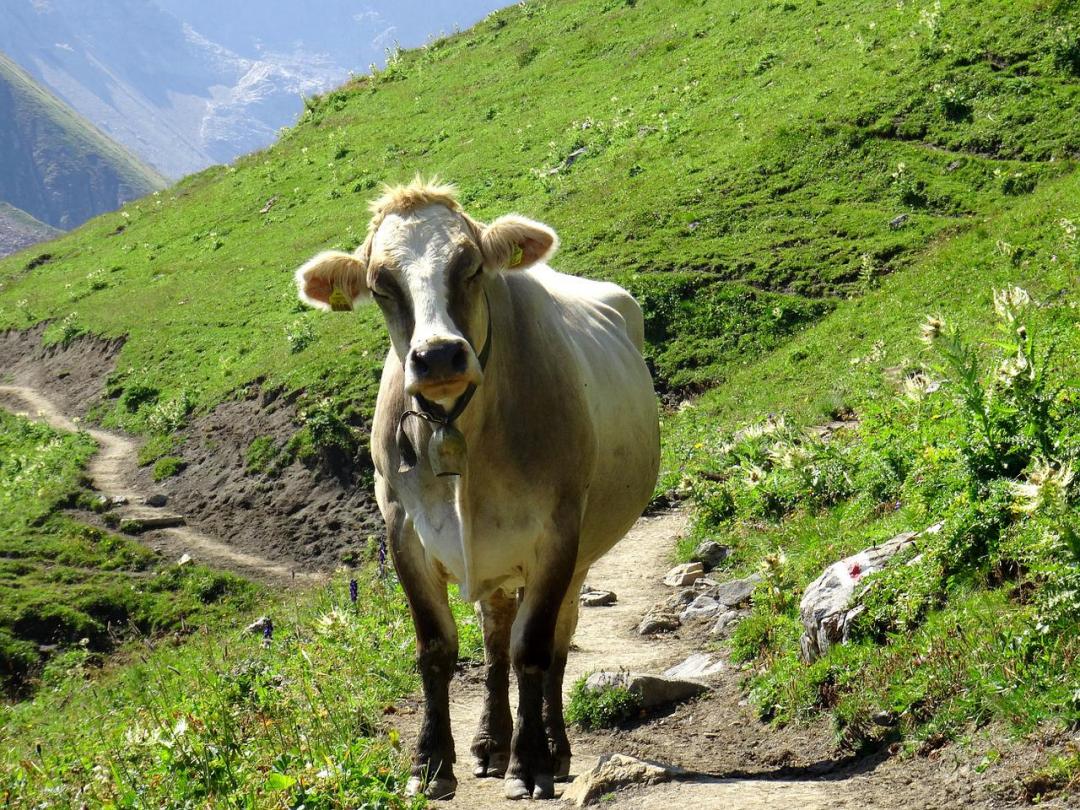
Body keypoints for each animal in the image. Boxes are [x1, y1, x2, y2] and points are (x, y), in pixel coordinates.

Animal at [295, 178, 659, 801]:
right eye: (380, 284)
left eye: (470, 266)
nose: (438, 354)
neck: (457, 427)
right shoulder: (403, 531)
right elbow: (438, 648)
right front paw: (432, 762)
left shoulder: (557, 533)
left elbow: (533, 650)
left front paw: (531, 764)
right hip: (495, 554)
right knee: (494, 640)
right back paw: (490, 743)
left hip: (580, 554)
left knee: (556, 643)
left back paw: (553, 748)